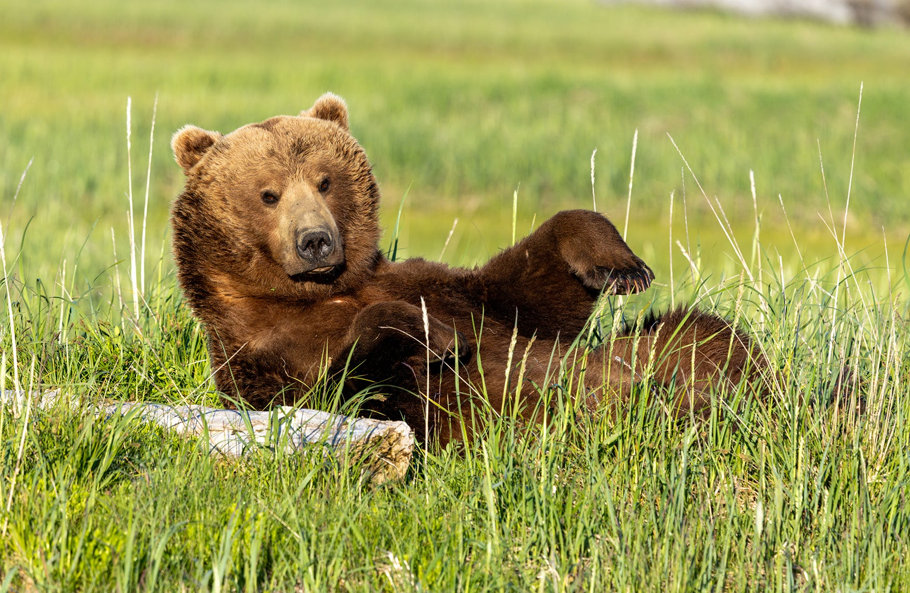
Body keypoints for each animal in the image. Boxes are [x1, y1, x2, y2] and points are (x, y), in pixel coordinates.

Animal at [170, 93, 767, 445]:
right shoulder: (261, 348)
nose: (316, 240)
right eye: (268, 193)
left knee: (702, 334)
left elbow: (528, 296)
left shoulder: (433, 283)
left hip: (661, 350)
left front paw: (621, 266)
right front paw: (434, 337)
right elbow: (333, 390)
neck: (322, 291)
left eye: (324, 180)